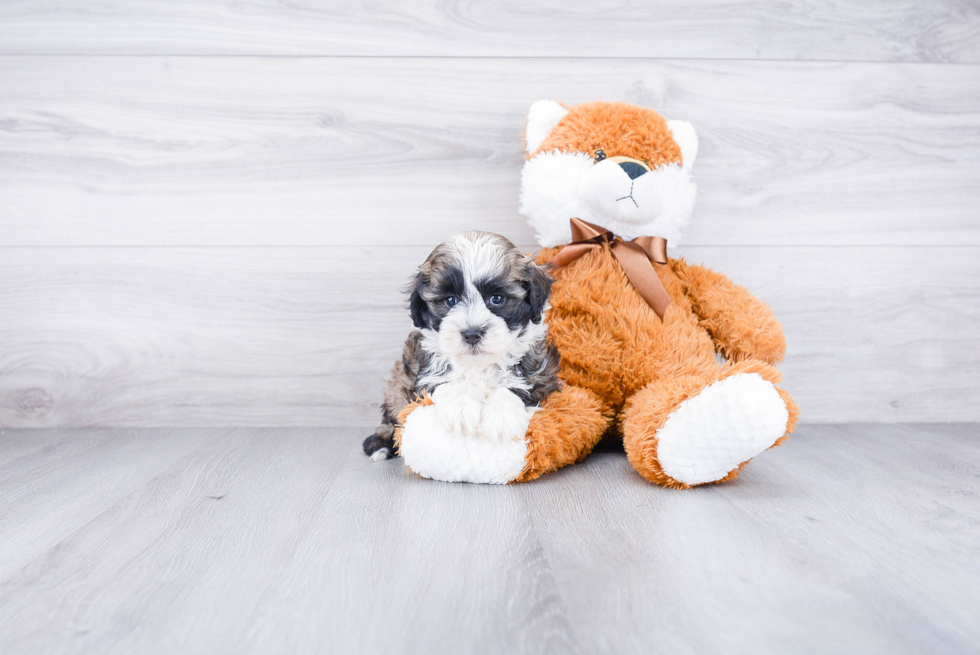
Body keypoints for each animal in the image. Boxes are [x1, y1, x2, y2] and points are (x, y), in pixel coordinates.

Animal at [364, 231, 560, 462]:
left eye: (497, 299)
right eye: (450, 300)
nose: (472, 333)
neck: (478, 364)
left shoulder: (540, 374)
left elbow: (517, 386)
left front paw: (502, 416)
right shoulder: (421, 374)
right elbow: (445, 382)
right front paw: (461, 407)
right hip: (396, 389)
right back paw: (380, 446)